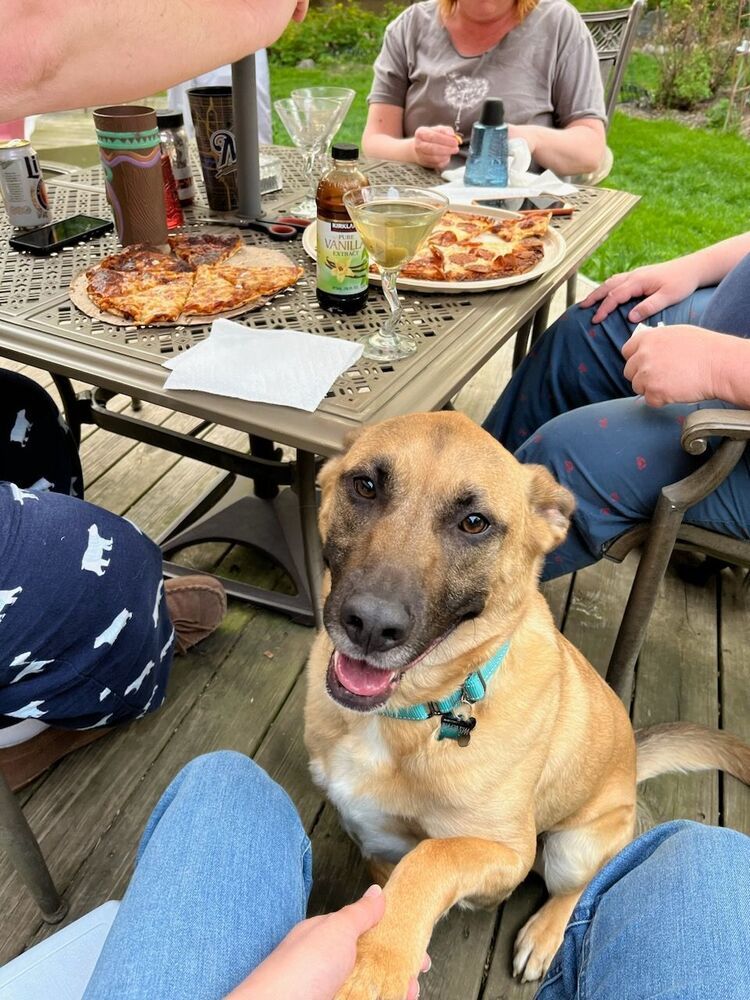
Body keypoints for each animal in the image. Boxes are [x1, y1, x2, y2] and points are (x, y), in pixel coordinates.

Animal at [304, 412, 750, 1000]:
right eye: (366, 486)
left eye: (475, 522)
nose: (371, 625)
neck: (418, 712)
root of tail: (632, 765)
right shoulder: (376, 844)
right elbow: (388, 886)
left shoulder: (506, 853)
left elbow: (431, 858)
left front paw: (376, 965)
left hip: (568, 849)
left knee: (571, 892)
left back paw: (542, 937)